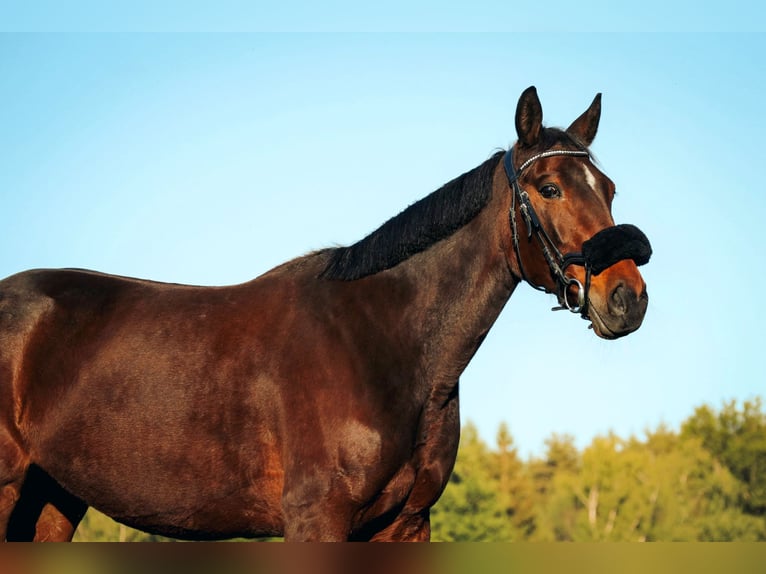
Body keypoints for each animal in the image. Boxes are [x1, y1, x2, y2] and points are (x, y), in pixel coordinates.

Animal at [0, 87, 650, 542]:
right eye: (548, 188)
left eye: (609, 188)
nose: (627, 297)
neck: (381, 344)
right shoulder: (319, 520)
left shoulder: (404, 525)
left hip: (53, 497)